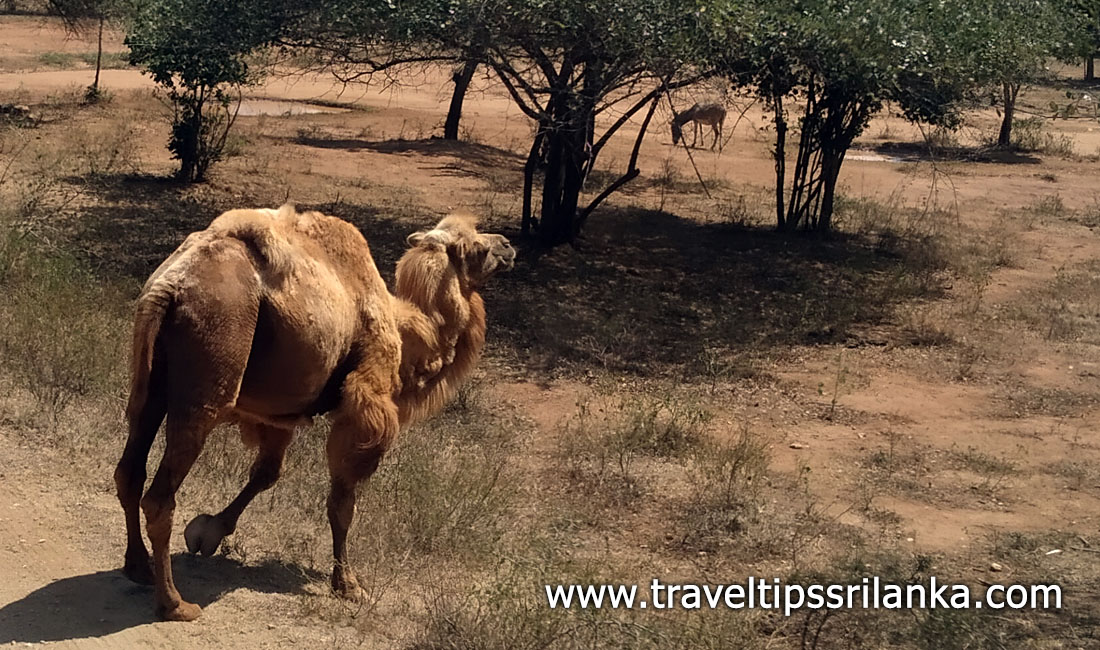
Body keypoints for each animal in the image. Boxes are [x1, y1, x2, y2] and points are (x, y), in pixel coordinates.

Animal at [111, 204, 514, 620]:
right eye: (474, 248)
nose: (507, 245)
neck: (408, 330)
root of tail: (170, 286)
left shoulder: (279, 411)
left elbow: (266, 474)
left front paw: (207, 531)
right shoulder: (365, 406)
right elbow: (342, 501)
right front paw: (349, 585)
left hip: (150, 383)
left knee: (130, 469)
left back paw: (139, 568)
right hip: (207, 378)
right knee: (160, 494)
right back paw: (175, 603)